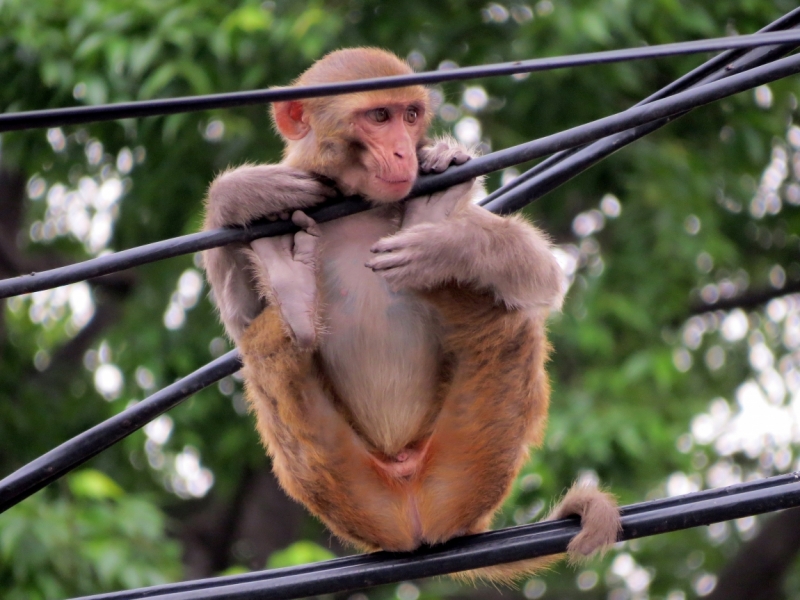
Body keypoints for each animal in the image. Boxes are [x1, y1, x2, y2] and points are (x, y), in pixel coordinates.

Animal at [202, 47, 620, 580]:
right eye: (380, 116)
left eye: (411, 115)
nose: (404, 151)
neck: (361, 209)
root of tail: (414, 525)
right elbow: (239, 321)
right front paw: (241, 192)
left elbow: (542, 275)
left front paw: (444, 244)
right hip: (339, 486)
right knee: (267, 348)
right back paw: (291, 293)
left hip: (469, 466)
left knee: (507, 318)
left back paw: (428, 227)